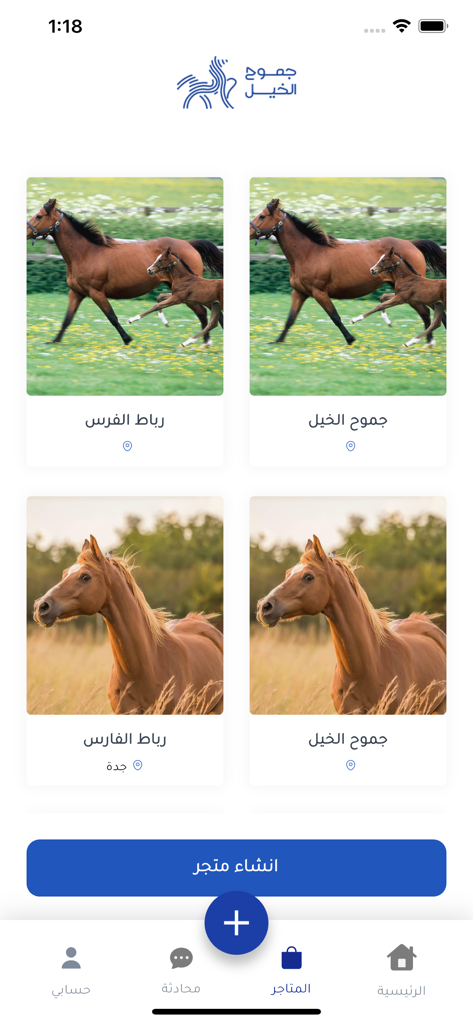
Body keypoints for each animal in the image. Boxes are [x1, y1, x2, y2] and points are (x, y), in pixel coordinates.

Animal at [26, 198, 223, 346]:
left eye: (39, 216)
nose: (26, 231)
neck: (85, 253)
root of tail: (189, 243)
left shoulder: (96, 292)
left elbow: (112, 316)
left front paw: (128, 339)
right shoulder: (76, 292)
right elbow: (67, 318)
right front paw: (54, 341)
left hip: (190, 291)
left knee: (204, 312)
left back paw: (205, 342)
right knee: (208, 311)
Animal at [249, 199, 447, 346]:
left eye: (262, 216)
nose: (249, 231)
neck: (308, 253)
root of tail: (412, 243)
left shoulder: (319, 292)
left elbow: (335, 316)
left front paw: (351, 339)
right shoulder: (299, 292)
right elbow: (290, 318)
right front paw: (277, 341)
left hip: (413, 291)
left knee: (427, 312)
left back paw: (428, 342)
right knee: (430, 311)